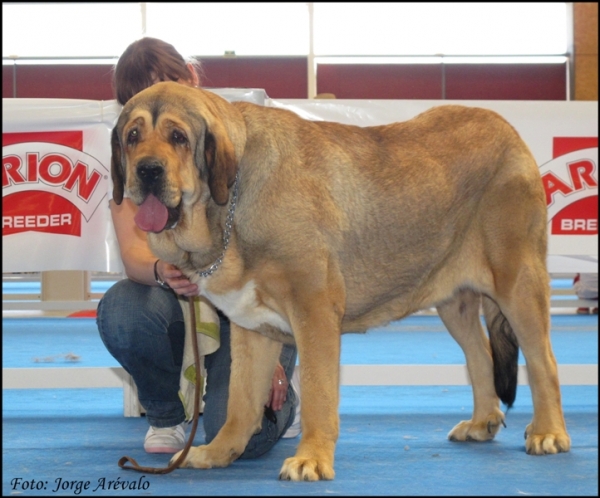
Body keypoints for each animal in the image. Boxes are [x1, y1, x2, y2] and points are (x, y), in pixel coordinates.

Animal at [111, 82, 572, 482]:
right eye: (133, 136)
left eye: (178, 137)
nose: (147, 171)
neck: (229, 204)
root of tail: (509, 131)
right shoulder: (252, 328)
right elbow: (240, 403)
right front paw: (218, 452)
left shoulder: (314, 312)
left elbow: (317, 392)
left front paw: (311, 459)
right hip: (453, 300)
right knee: (480, 354)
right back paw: (481, 422)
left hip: (518, 282)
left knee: (542, 360)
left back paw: (549, 432)